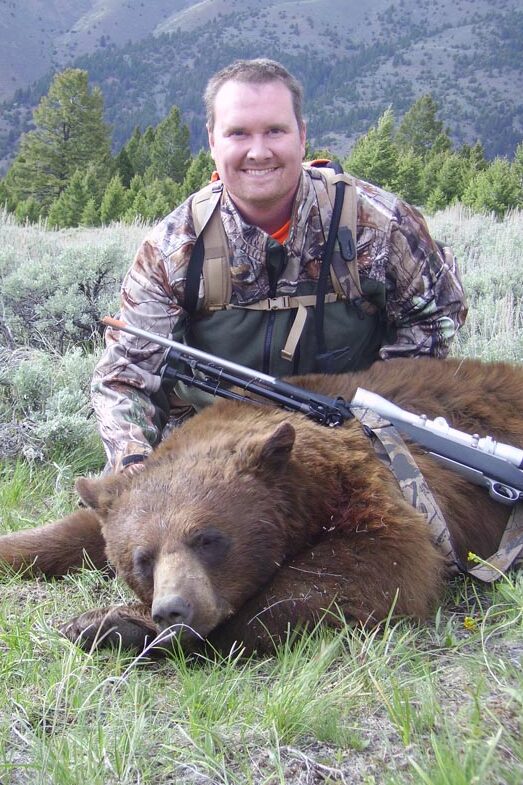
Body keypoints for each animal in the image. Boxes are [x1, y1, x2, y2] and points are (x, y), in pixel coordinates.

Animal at [0, 356, 522, 657]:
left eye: (208, 539)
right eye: (142, 559)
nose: (173, 609)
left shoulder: (374, 487)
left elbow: (378, 567)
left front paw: (115, 623)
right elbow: (76, 529)